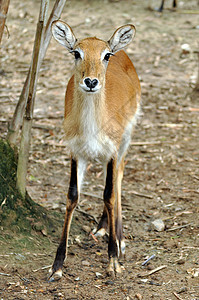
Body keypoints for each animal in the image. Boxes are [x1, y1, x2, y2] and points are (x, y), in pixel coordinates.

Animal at [48, 21, 141, 282]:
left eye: (106, 55)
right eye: (76, 52)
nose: (91, 82)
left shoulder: (112, 150)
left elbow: (109, 193)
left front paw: (114, 260)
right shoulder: (75, 151)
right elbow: (72, 196)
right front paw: (57, 266)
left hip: (126, 139)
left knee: (119, 176)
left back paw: (119, 238)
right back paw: (101, 228)